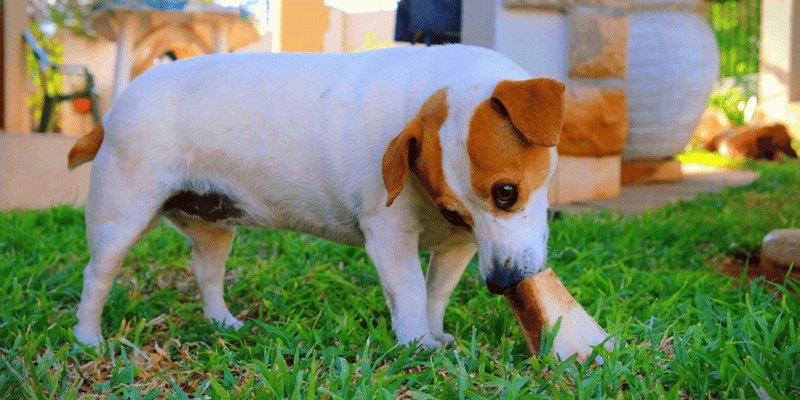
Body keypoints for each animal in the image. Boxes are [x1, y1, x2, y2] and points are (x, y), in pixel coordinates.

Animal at [69, 45, 564, 348]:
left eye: (505, 193)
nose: (502, 283)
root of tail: (114, 109)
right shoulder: (389, 237)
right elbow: (408, 291)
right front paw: (418, 344)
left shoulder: (458, 246)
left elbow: (435, 294)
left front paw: (435, 333)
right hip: (121, 218)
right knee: (97, 277)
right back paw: (88, 337)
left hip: (214, 227)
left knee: (206, 273)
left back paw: (223, 323)